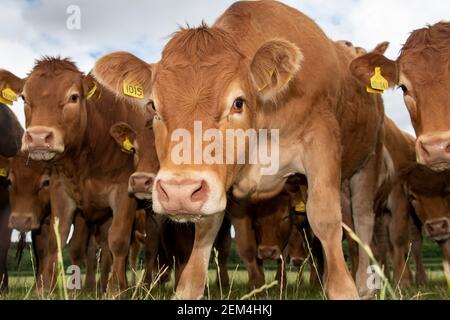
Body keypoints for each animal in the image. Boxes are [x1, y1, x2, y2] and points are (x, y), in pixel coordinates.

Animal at [0, 58, 158, 298]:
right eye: (24, 97)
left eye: (73, 97)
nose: (38, 137)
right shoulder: (65, 195)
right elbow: (59, 241)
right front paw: (46, 288)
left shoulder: (124, 193)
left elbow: (118, 241)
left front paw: (115, 291)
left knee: (146, 248)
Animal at [92, 1, 386, 298]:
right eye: (153, 106)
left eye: (238, 103)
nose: (179, 192)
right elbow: (207, 230)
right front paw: (187, 289)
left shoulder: (321, 140)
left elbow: (325, 218)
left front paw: (344, 290)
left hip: (367, 161)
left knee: (362, 222)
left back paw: (364, 285)